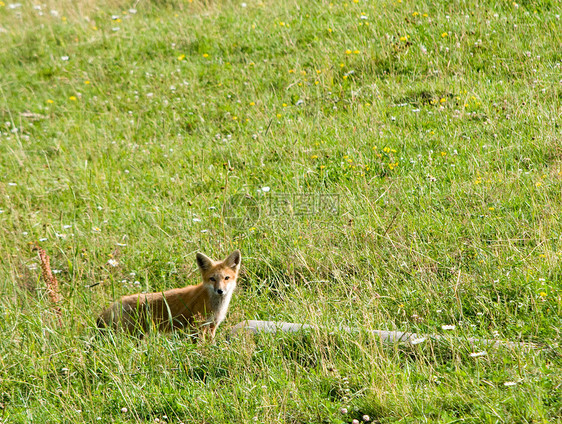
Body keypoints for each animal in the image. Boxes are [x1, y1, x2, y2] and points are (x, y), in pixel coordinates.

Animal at [97, 250, 241, 340]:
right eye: (212, 279)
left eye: (226, 278)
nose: (220, 291)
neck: (215, 305)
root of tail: (116, 303)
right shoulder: (196, 327)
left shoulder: (212, 326)